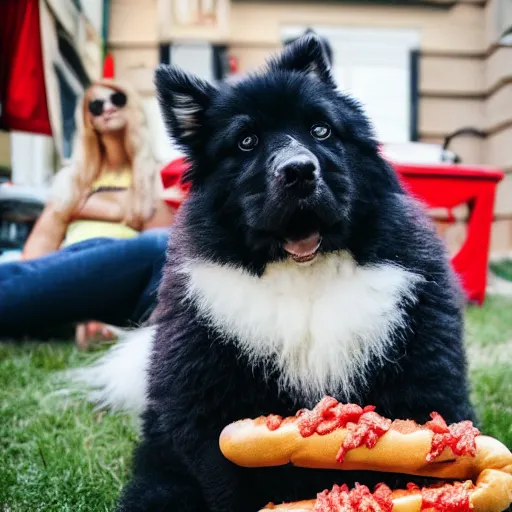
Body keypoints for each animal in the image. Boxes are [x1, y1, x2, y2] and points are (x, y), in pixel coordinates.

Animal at [118, 34, 474, 510]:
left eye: (320, 130)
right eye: (246, 141)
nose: (299, 171)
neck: (305, 274)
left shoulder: (424, 374)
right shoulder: (209, 414)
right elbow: (226, 479)